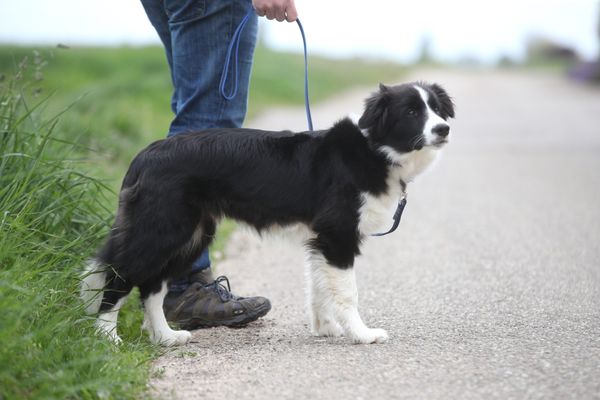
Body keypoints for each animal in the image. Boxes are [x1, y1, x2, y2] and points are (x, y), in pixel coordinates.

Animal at [79, 80, 454, 344]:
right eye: (411, 112)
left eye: (436, 109)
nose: (444, 129)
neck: (375, 149)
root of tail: (144, 156)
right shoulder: (338, 234)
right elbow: (347, 291)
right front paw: (362, 334)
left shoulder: (321, 238)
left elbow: (318, 286)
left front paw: (325, 328)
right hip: (163, 230)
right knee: (119, 278)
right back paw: (108, 339)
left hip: (190, 234)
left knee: (151, 288)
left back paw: (165, 338)